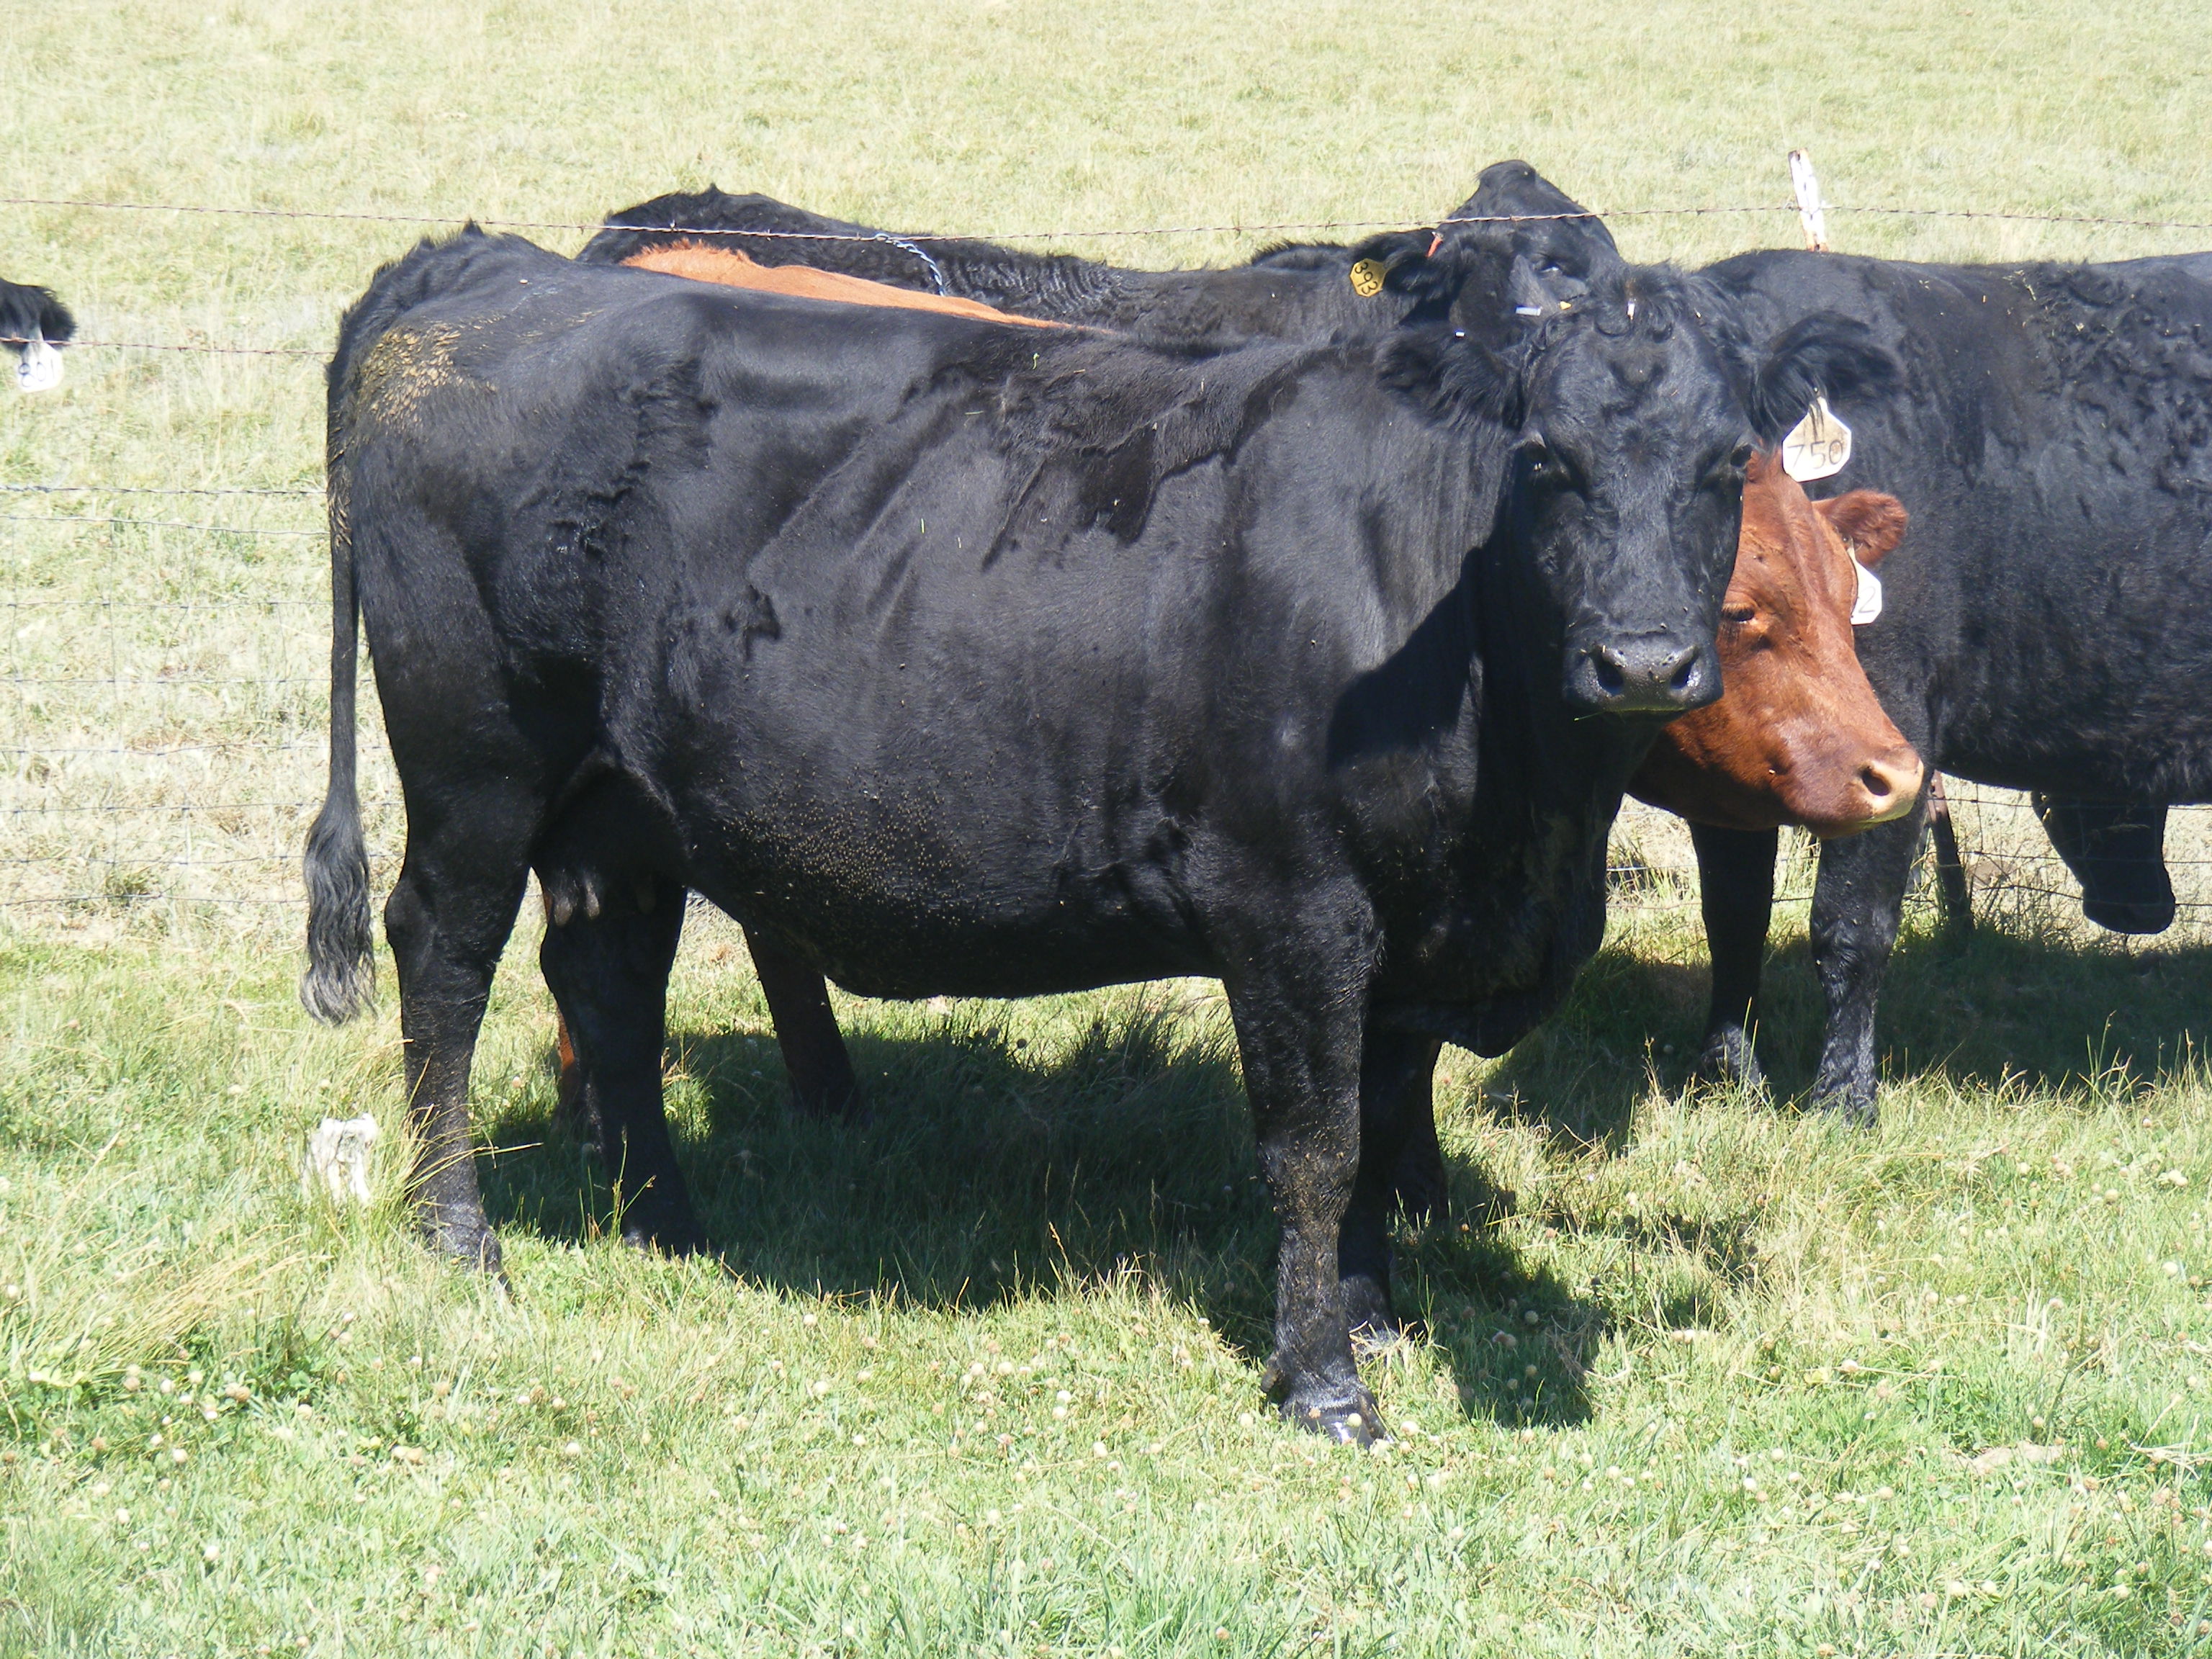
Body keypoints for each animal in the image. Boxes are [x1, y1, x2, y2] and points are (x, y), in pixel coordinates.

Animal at [303, 225, 1888, 1439]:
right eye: (1545, 457)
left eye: (1724, 462)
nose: (1643, 662)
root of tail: (489, 268)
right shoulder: (1291, 909)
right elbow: (1314, 1143)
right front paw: (1321, 1380)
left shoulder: (1408, 928)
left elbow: (1383, 1121)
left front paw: (1371, 1311)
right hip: (478, 769)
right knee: (442, 959)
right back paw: (461, 1236)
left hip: (622, 808)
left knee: (607, 985)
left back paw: (665, 1222)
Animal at [1462, 160, 2212, 1120]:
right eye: (1545, 458)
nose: (1647, 663)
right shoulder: (1732, 782)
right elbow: (1734, 915)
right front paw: (1725, 1071)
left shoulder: (1897, 737)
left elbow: (1851, 926)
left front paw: (1844, 1097)